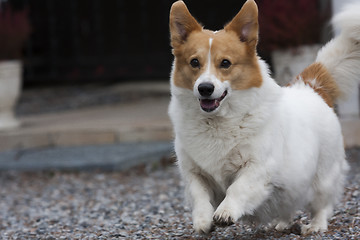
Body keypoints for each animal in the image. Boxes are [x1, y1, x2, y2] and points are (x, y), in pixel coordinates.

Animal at [168, 0, 360, 235]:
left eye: (225, 63)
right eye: (194, 62)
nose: (205, 88)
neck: (218, 122)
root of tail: (311, 86)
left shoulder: (258, 167)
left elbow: (237, 188)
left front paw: (225, 212)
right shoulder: (194, 173)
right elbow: (200, 197)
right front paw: (203, 221)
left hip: (323, 177)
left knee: (322, 204)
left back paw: (315, 226)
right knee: (288, 204)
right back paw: (282, 223)